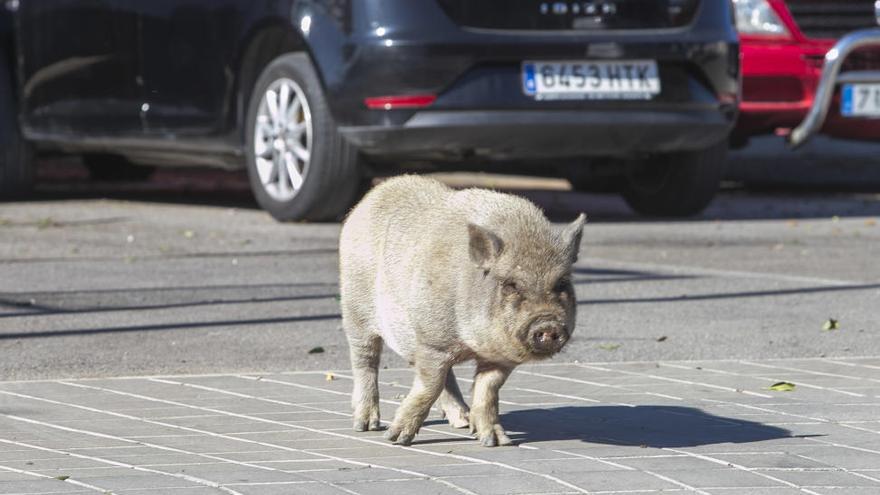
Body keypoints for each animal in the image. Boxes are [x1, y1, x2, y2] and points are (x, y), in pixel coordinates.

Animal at [338, 176, 584, 448]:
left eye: (561, 284)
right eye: (511, 285)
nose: (547, 324)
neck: (470, 342)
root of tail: (372, 196)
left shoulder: (498, 359)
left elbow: (487, 391)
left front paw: (496, 442)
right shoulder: (433, 340)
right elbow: (430, 385)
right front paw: (396, 439)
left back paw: (464, 422)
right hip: (355, 309)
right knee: (365, 360)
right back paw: (366, 426)